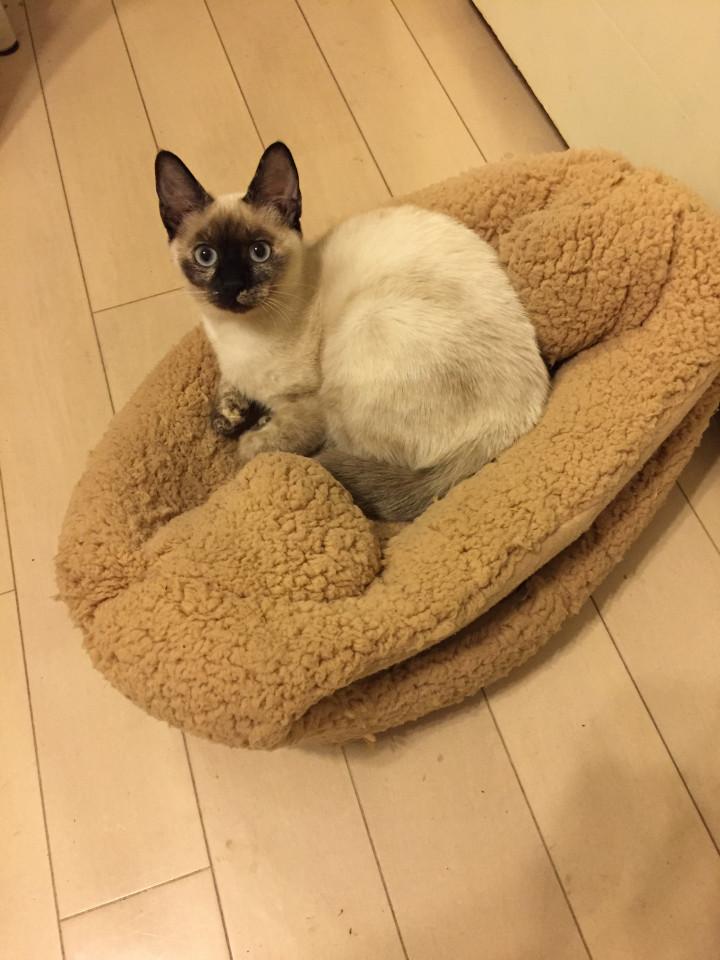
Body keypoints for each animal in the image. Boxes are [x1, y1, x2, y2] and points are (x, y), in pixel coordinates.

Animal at [155, 142, 549, 522]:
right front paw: (229, 414)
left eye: (259, 252)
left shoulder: (310, 407)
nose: (232, 288)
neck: (238, 334)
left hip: (361, 332)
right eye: (206, 256)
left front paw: (252, 433)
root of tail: (516, 421)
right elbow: (226, 396)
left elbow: (258, 448)